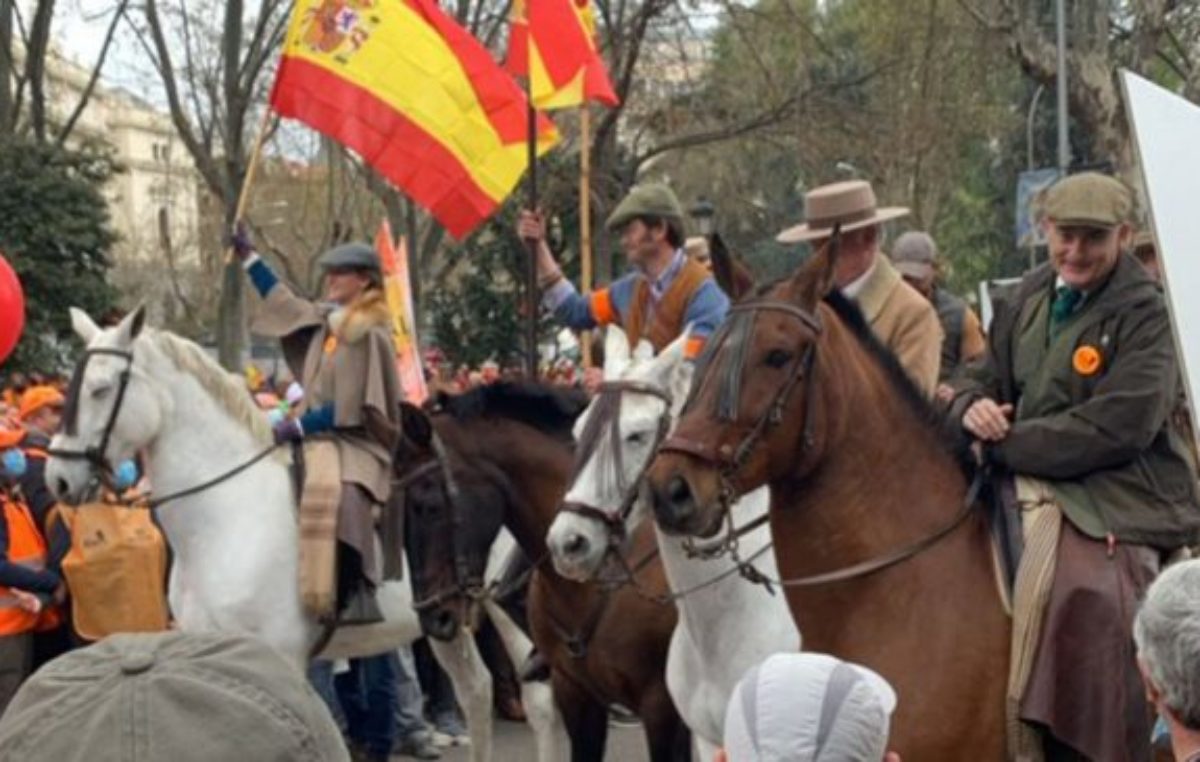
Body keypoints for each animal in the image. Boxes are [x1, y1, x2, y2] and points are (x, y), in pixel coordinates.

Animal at [42, 306, 554, 762]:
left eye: (101, 389)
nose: (58, 479)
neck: (225, 516)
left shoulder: (280, 657)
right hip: (443, 616)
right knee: (476, 691)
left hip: (504, 609)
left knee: (541, 703)